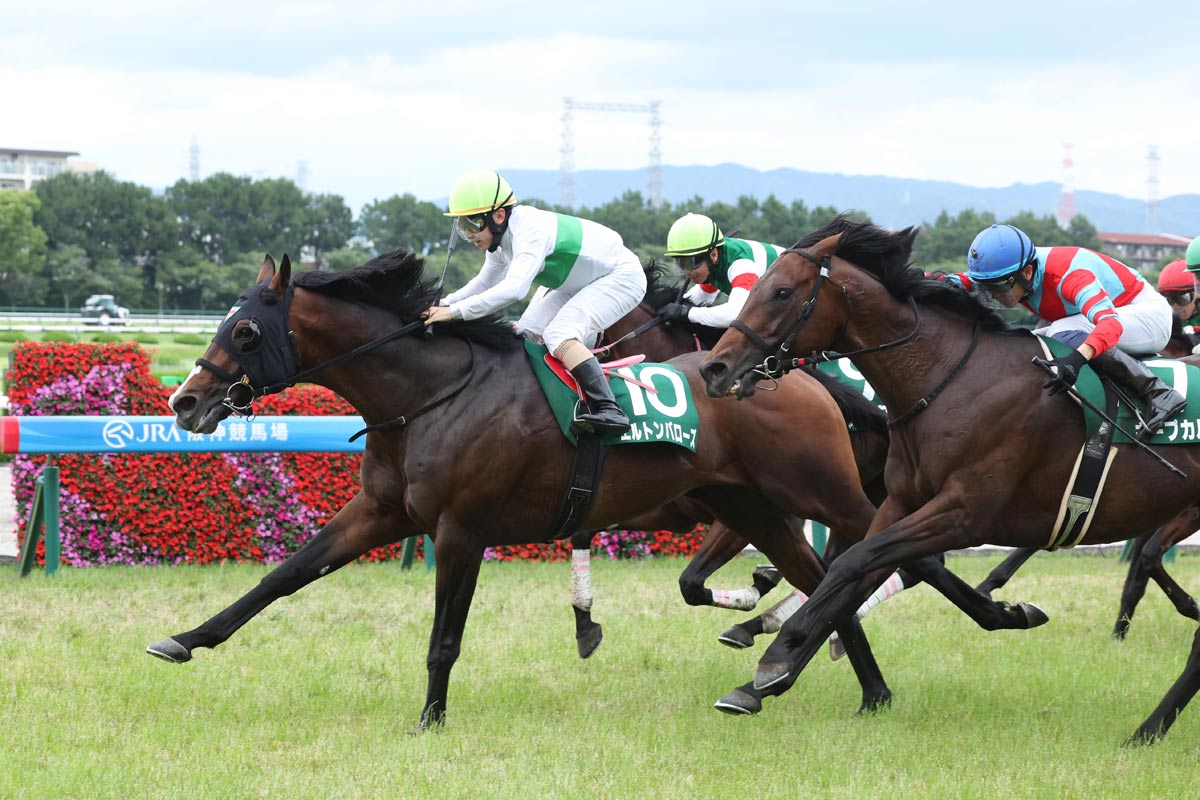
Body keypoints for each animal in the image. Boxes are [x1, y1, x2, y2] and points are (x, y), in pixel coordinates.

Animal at [152, 249, 906, 730]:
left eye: (246, 330)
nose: (184, 403)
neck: (428, 396)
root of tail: (801, 375)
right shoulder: (383, 511)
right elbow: (284, 576)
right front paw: (186, 639)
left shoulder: (461, 528)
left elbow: (444, 636)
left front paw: (430, 719)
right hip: (748, 505)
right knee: (826, 577)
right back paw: (862, 690)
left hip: (820, 493)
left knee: (871, 554)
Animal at [699, 213, 1200, 745]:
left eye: (782, 292)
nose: (715, 367)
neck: (952, 381)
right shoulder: (899, 503)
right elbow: (850, 574)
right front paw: (762, 681)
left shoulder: (964, 513)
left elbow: (854, 564)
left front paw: (778, 656)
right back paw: (1150, 727)